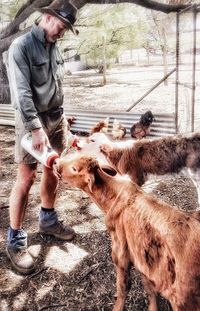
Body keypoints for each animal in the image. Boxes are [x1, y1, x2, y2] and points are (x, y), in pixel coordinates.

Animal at [53, 156, 200, 311]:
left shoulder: (120, 254)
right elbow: (150, 289)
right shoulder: (142, 261)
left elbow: (122, 287)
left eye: (74, 168)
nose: (56, 162)